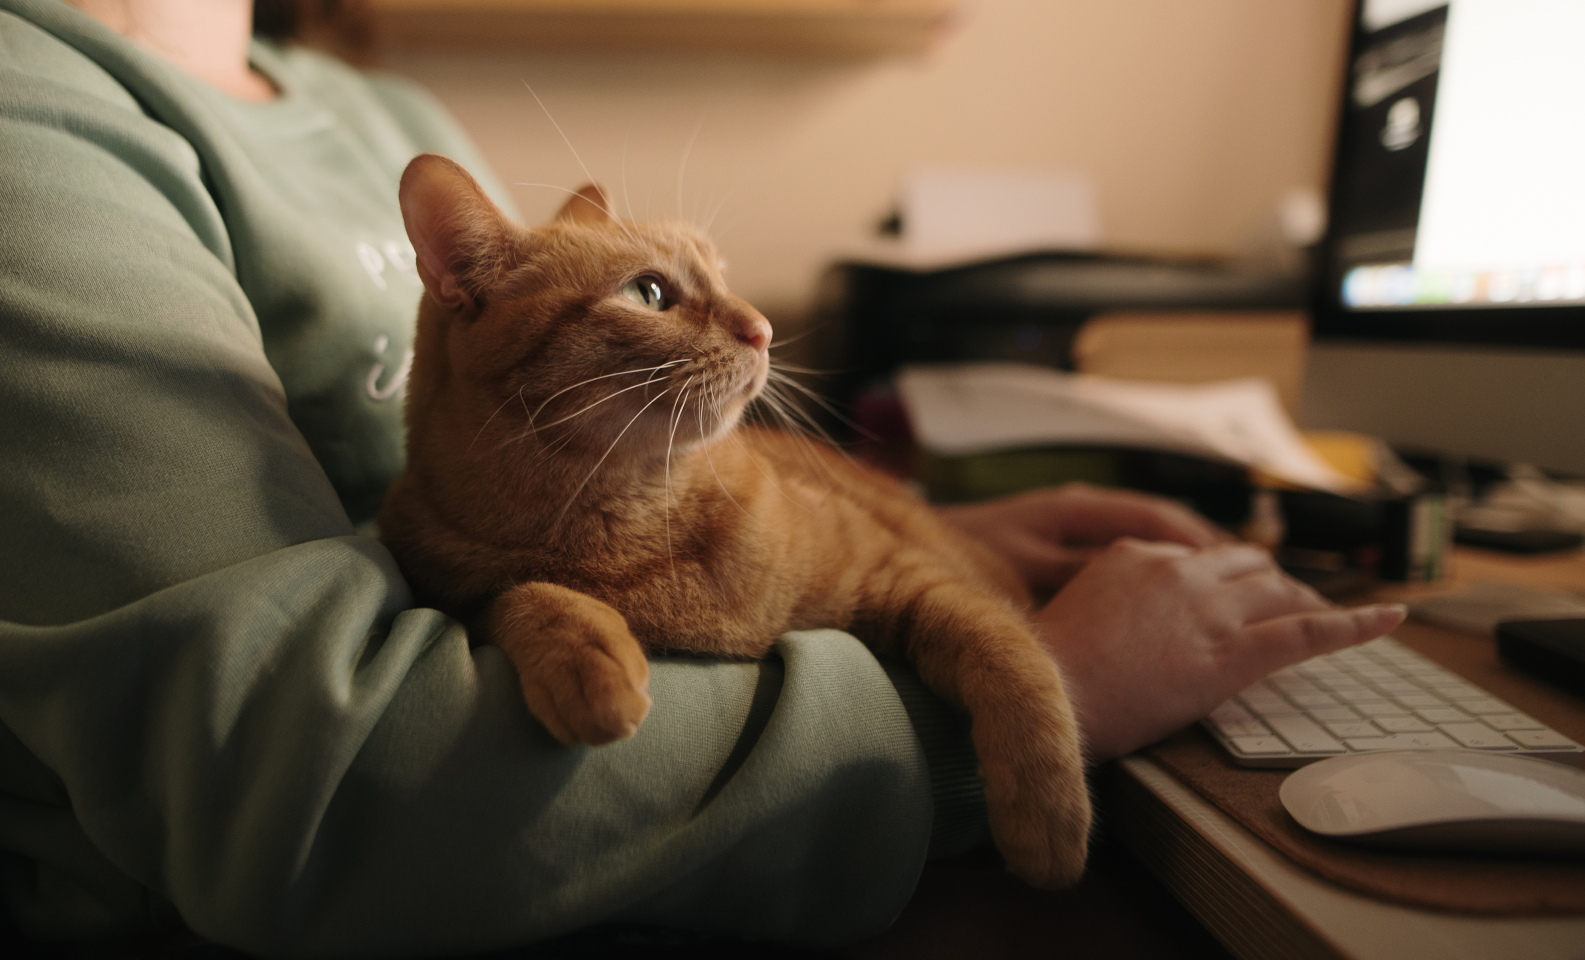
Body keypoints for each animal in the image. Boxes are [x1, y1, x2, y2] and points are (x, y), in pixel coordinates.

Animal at [377, 154, 1090, 893]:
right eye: (649, 293)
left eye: (722, 275)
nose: (764, 329)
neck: (631, 522)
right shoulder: (446, 584)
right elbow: (513, 596)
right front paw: (583, 654)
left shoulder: (903, 576)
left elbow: (1010, 656)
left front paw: (1048, 821)